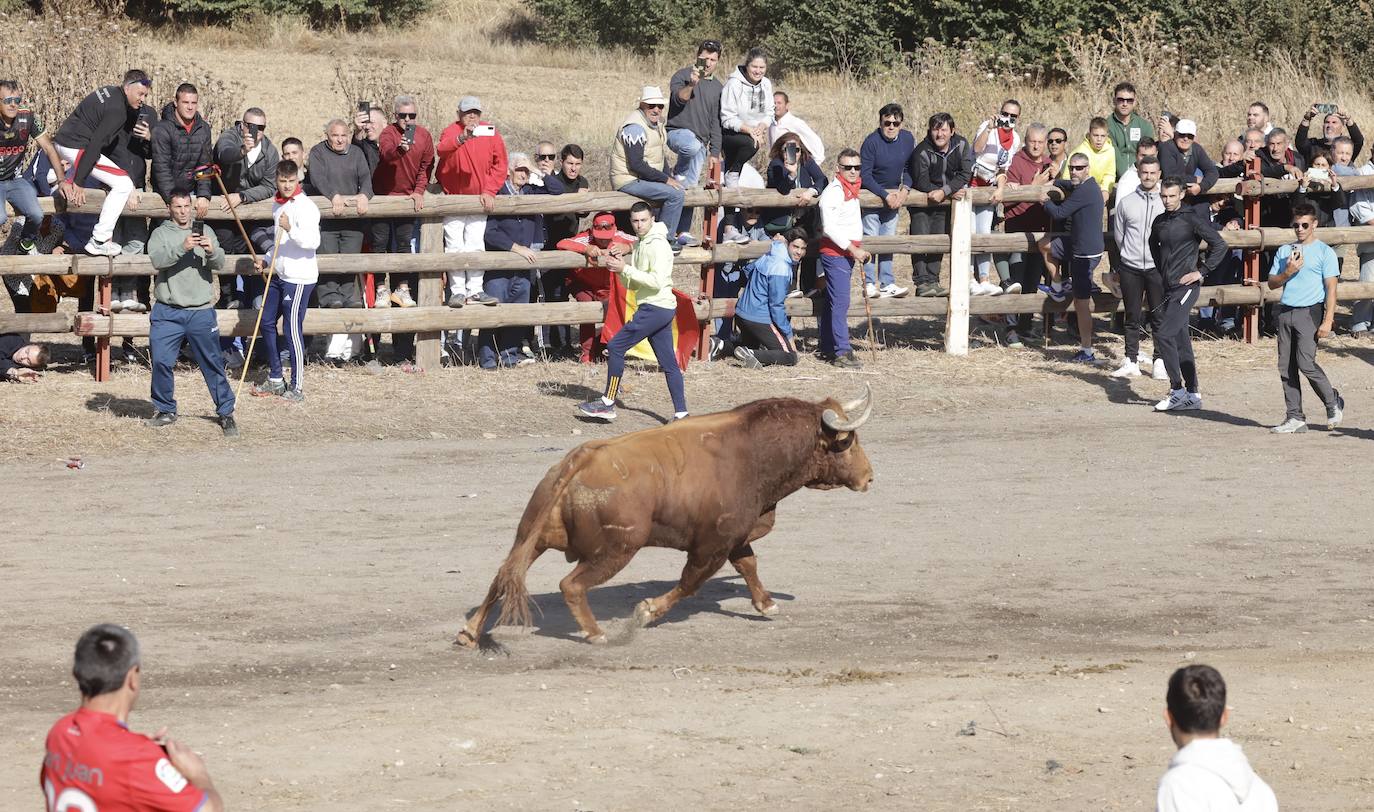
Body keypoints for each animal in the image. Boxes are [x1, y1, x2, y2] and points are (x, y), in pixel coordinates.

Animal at [456, 384, 873, 648]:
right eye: (848, 442)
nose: (869, 476)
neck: (752, 453)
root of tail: (583, 458)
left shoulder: (735, 536)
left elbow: (749, 566)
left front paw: (766, 603)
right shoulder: (711, 545)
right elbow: (691, 583)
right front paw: (647, 611)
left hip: (532, 536)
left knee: (502, 575)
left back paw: (469, 633)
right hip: (618, 548)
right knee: (571, 585)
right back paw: (596, 633)